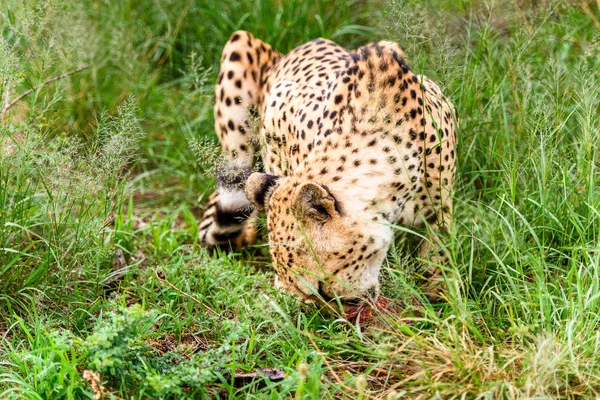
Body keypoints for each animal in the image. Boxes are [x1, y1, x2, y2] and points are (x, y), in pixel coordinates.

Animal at [199, 31, 458, 306]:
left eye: (321, 286)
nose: (337, 310)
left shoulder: (441, 207)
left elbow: (439, 253)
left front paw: (439, 295)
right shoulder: (280, 105)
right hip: (238, 53)